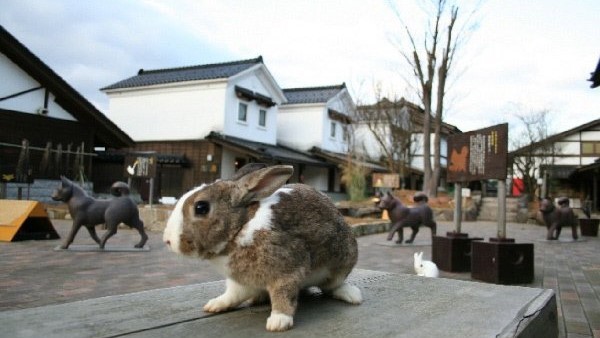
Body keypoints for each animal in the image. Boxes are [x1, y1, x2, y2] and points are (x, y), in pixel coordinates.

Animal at [162, 165, 364, 332]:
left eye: (201, 207)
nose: (167, 240)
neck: (241, 228)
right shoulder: (239, 282)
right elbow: (232, 295)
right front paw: (215, 304)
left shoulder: (287, 271)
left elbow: (283, 296)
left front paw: (278, 322)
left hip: (342, 263)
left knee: (332, 286)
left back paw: (352, 295)